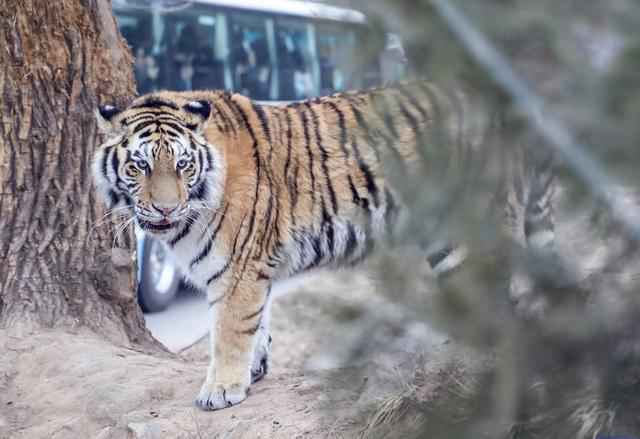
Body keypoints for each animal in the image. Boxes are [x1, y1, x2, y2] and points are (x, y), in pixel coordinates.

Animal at [91, 81, 556, 410]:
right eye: (139, 165)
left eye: (183, 165)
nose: (166, 208)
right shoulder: (254, 266)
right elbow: (257, 321)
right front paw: (253, 370)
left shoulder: (238, 266)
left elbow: (228, 330)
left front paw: (221, 390)